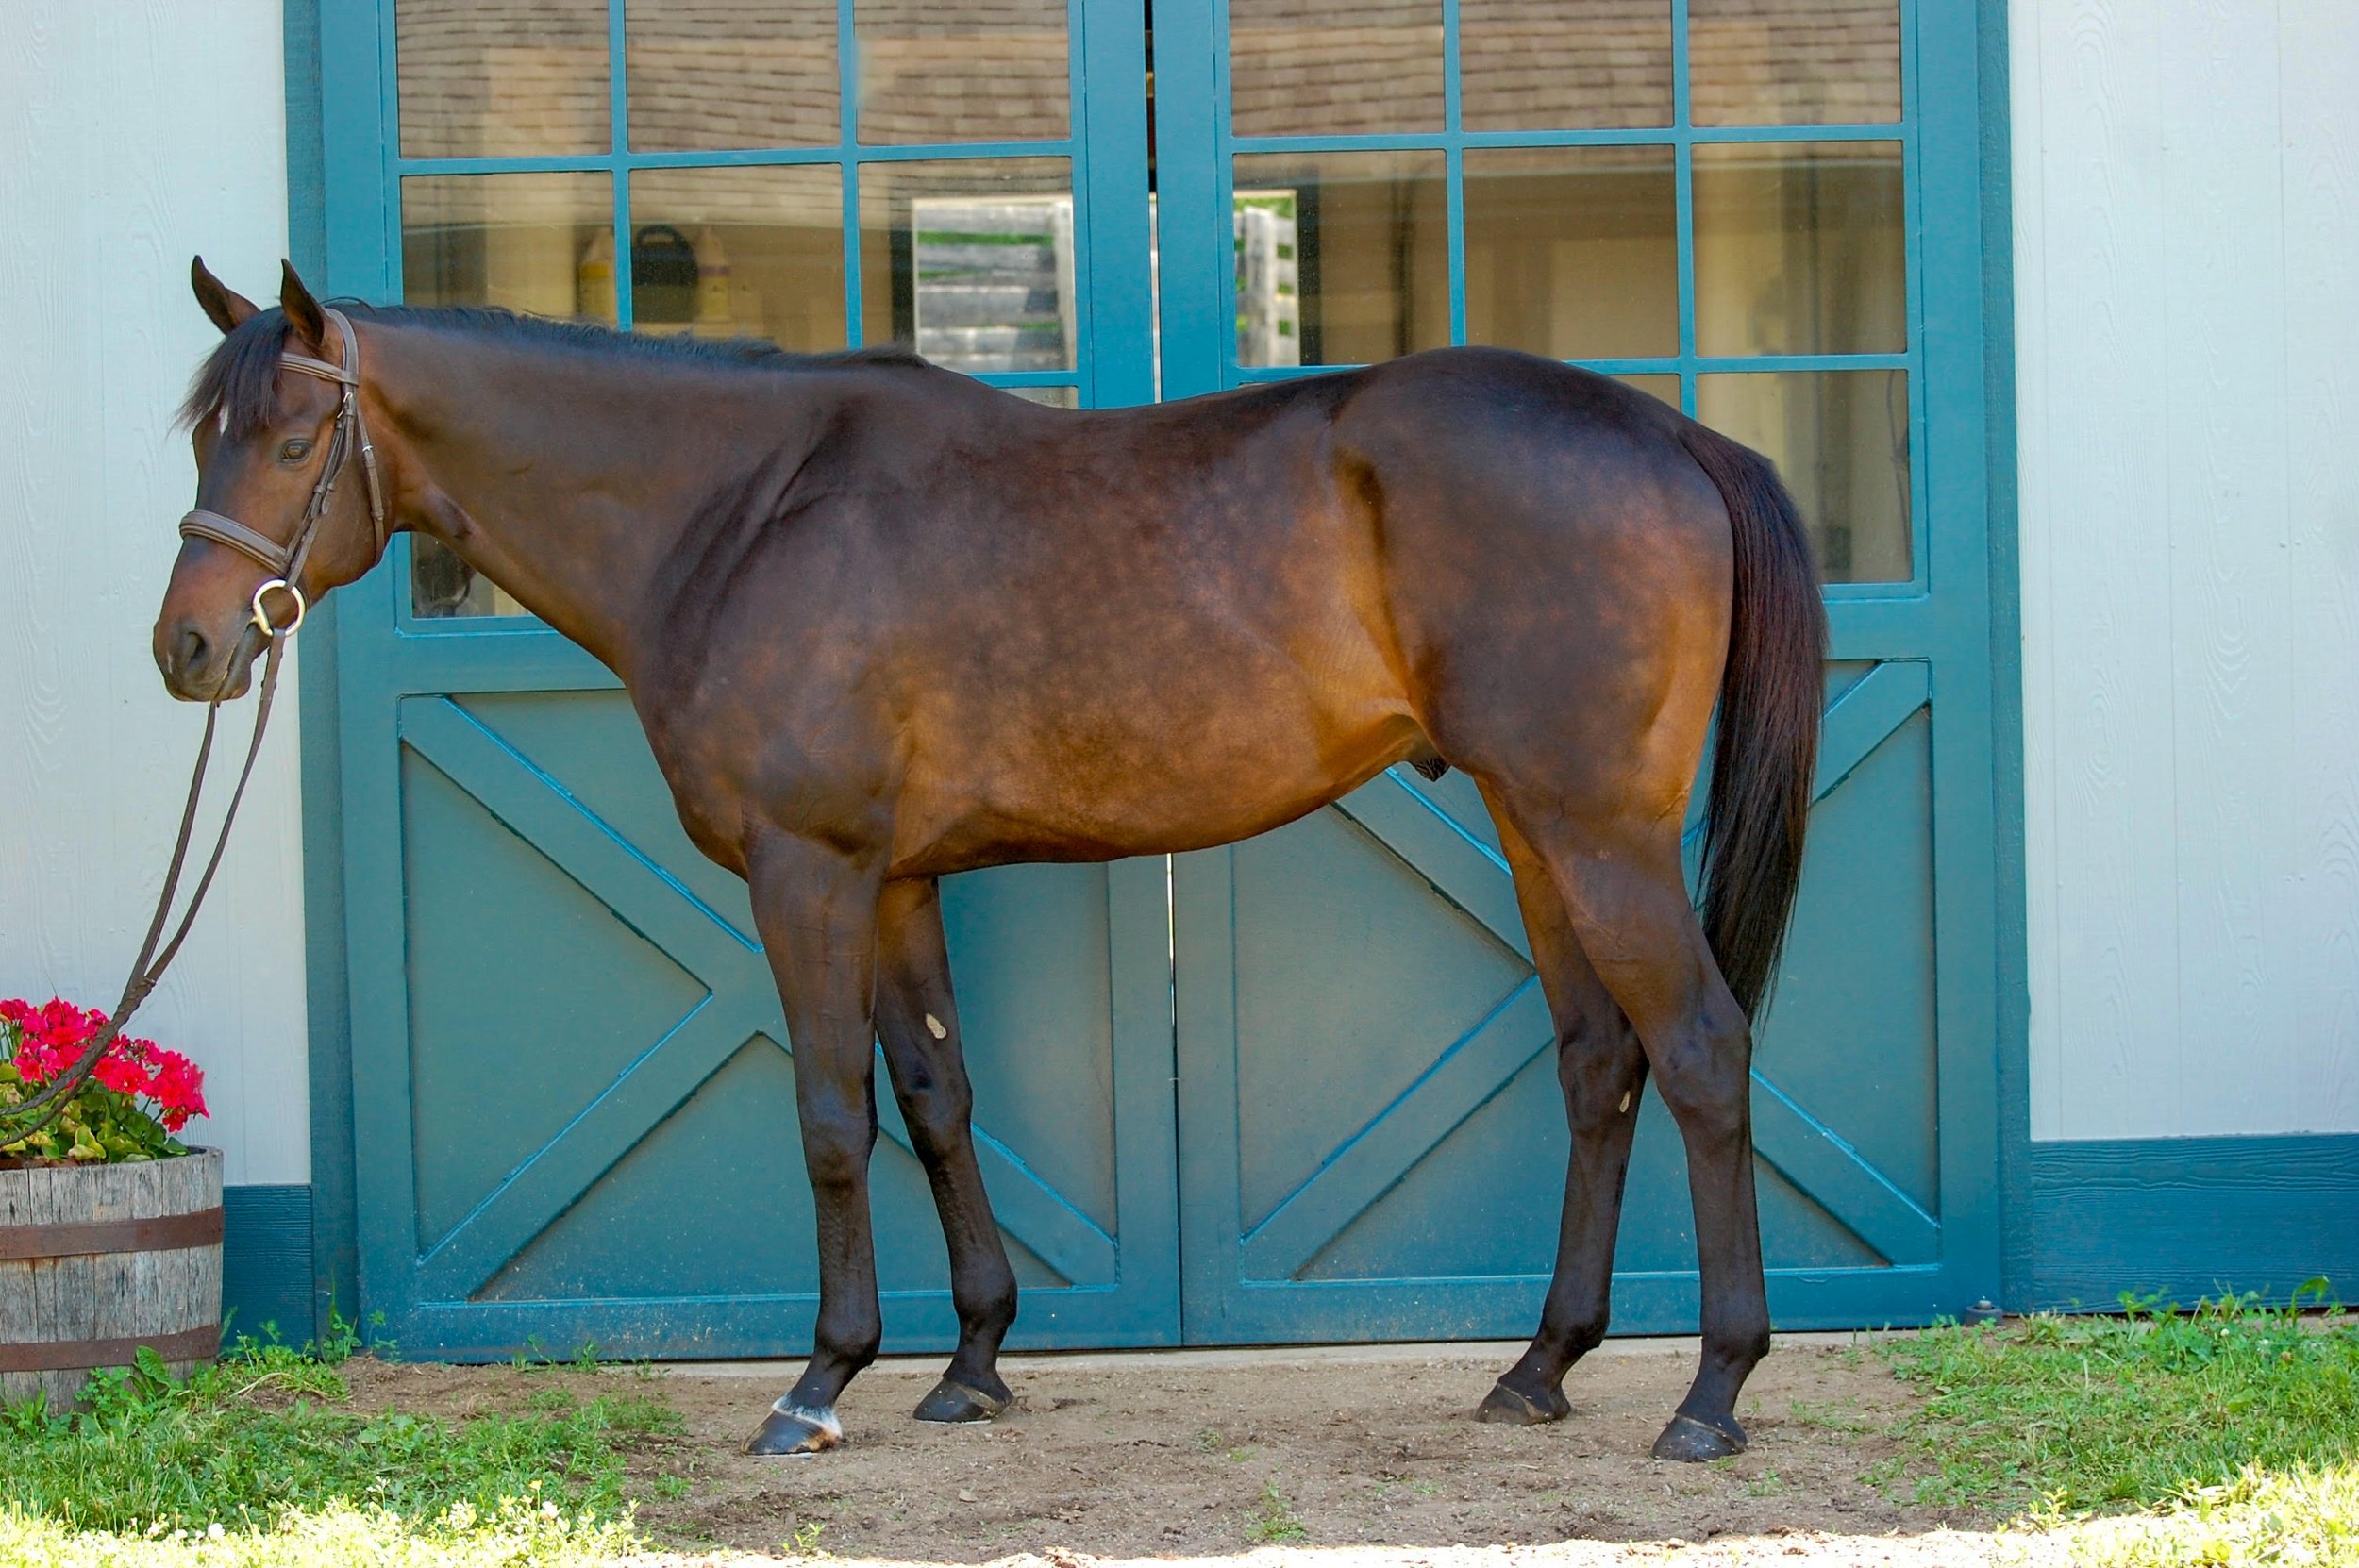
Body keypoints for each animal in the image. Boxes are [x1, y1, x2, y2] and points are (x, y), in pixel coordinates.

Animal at [156, 258, 1824, 1462]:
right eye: (205, 436)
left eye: (294, 439)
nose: (187, 649)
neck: (743, 512)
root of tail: (1673, 431)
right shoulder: (895, 879)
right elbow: (938, 1095)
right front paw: (970, 1362)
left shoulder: (807, 872)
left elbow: (834, 1116)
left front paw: (819, 1379)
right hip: (1537, 827)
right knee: (1600, 1059)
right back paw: (1541, 1364)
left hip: (1598, 831)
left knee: (1701, 1049)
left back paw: (1712, 1391)